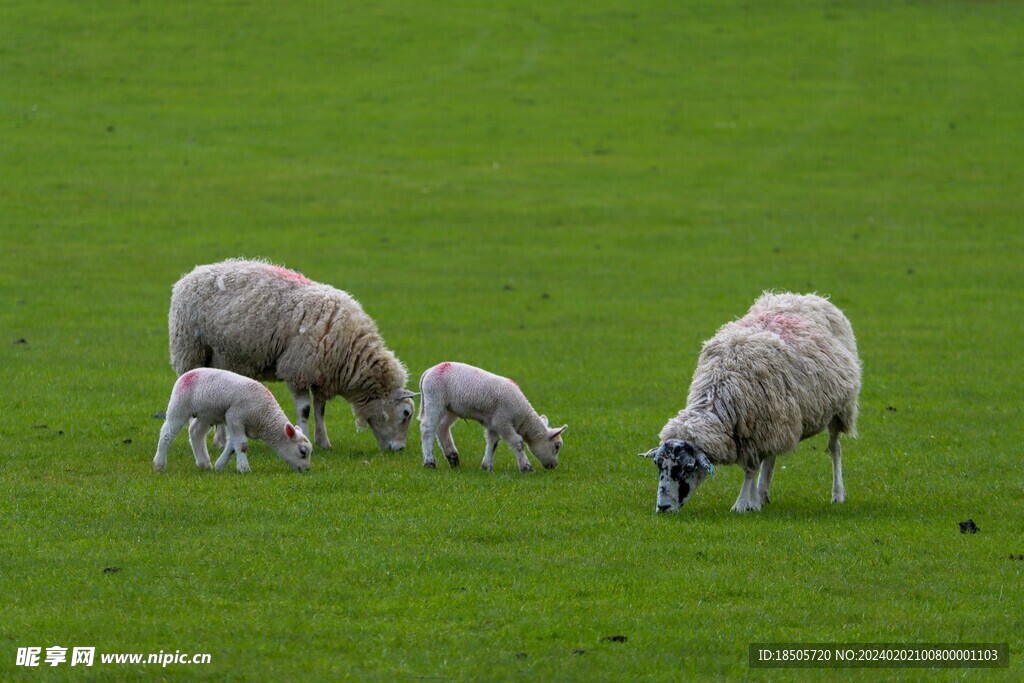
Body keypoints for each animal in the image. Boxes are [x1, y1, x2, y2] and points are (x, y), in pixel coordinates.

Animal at [151, 368, 311, 475]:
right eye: (303, 452)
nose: (306, 470)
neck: (264, 416)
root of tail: (187, 374)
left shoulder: (234, 421)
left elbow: (232, 446)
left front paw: (220, 465)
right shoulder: (235, 417)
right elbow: (242, 446)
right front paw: (244, 469)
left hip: (206, 414)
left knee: (196, 433)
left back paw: (204, 463)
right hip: (179, 406)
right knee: (166, 434)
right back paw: (159, 464)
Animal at [169, 259, 417, 456]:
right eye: (405, 414)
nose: (399, 449)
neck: (350, 351)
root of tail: (189, 275)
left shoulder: (320, 373)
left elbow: (320, 409)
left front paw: (324, 442)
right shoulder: (298, 370)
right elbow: (305, 410)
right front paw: (307, 439)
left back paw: (220, 441)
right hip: (191, 351)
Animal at [415, 362, 569, 475]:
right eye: (557, 446)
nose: (553, 466)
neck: (524, 419)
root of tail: (429, 370)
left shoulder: (493, 424)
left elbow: (493, 443)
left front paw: (486, 467)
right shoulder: (503, 421)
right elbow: (518, 442)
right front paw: (526, 468)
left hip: (450, 408)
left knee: (442, 428)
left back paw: (453, 459)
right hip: (434, 398)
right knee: (427, 428)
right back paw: (430, 462)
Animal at [643, 292, 860, 511]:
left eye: (688, 468)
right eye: (658, 465)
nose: (663, 507)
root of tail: (807, 297)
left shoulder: (757, 430)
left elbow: (750, 469)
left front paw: (742, 504)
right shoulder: (760, 429)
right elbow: (756, 466)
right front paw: (752, 500)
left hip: (840, 409)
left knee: (834, 449)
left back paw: (837, 494)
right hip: (780, 420)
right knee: (771, 458)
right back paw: (762, 493)